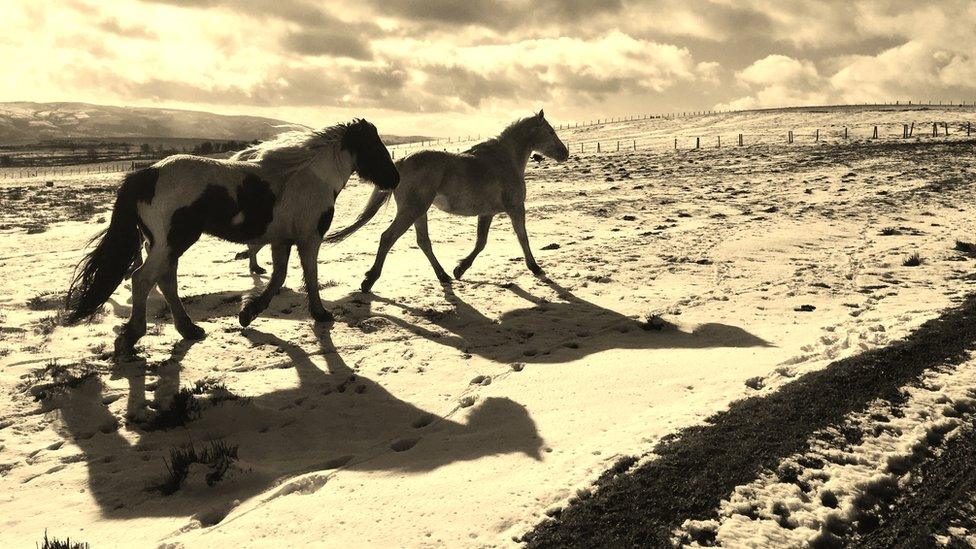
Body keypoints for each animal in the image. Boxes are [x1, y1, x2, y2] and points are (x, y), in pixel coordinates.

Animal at [63, 119, 398, 356]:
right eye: (375, 147)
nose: (394, 179)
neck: (308, 178)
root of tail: (145, 175)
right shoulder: (309, 238)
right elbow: (309, 276)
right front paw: (320, 314)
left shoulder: (281, 241)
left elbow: (278, 278)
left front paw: (248, 314)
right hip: (170, 243)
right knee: (142, 279)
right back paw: (131, 337)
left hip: (163, 246)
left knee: (165, 281)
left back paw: (190, 330)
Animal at [328, 108, 572, 294]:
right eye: (550, 131)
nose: (565, 153)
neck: (505, 160)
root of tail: (401, 163)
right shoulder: (515, 208)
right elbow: (522, 238)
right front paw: (536, 268)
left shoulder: (487, 213)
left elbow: (481, 242)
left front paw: (460, 269)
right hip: (412, 210)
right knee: (388, 238)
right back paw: (369, 281)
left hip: (419, 211)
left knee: (423, 242)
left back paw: (444, 275)